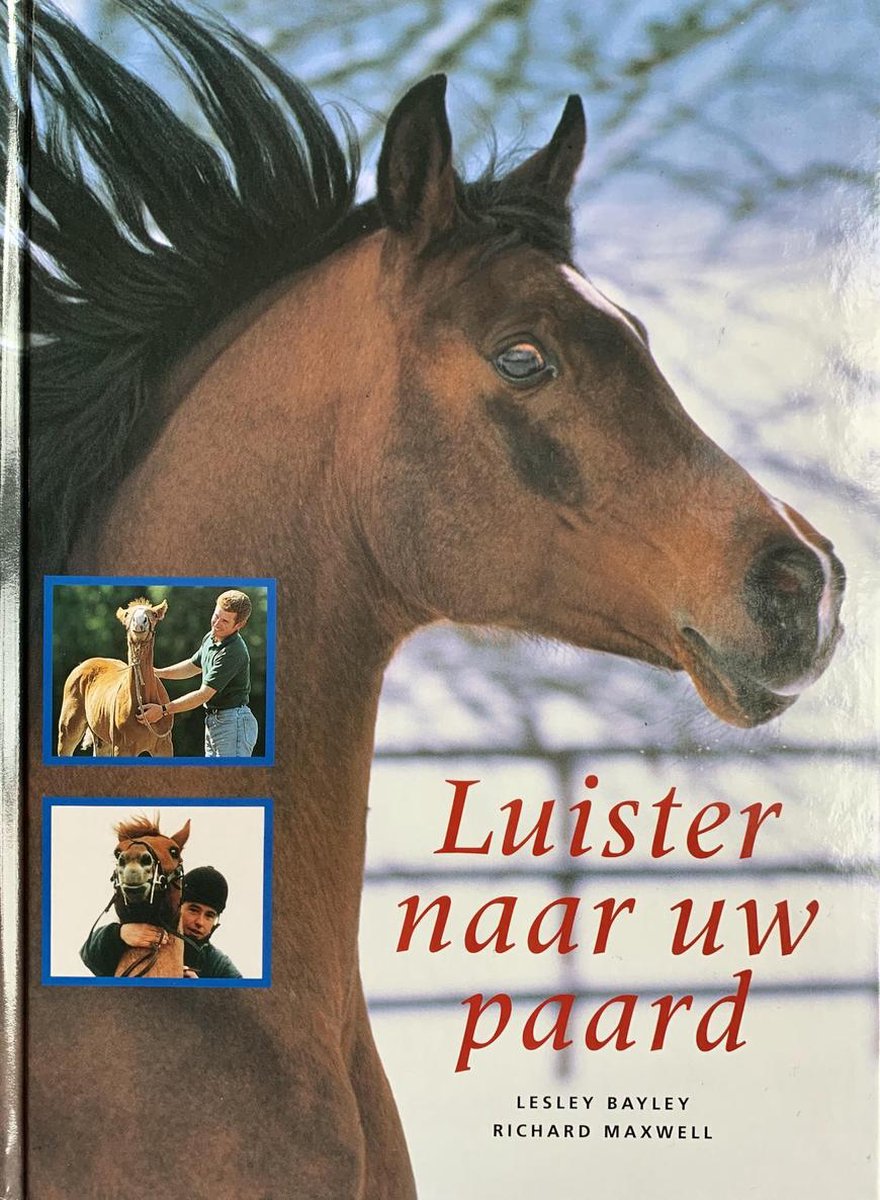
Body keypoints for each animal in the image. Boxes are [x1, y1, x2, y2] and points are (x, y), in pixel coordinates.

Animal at [56, 597, 174, 757]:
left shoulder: (164, 745)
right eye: (127, 615)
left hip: (102, 740)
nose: (139, 622)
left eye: (154, 614)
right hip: (69, 729)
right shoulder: (122, 748)